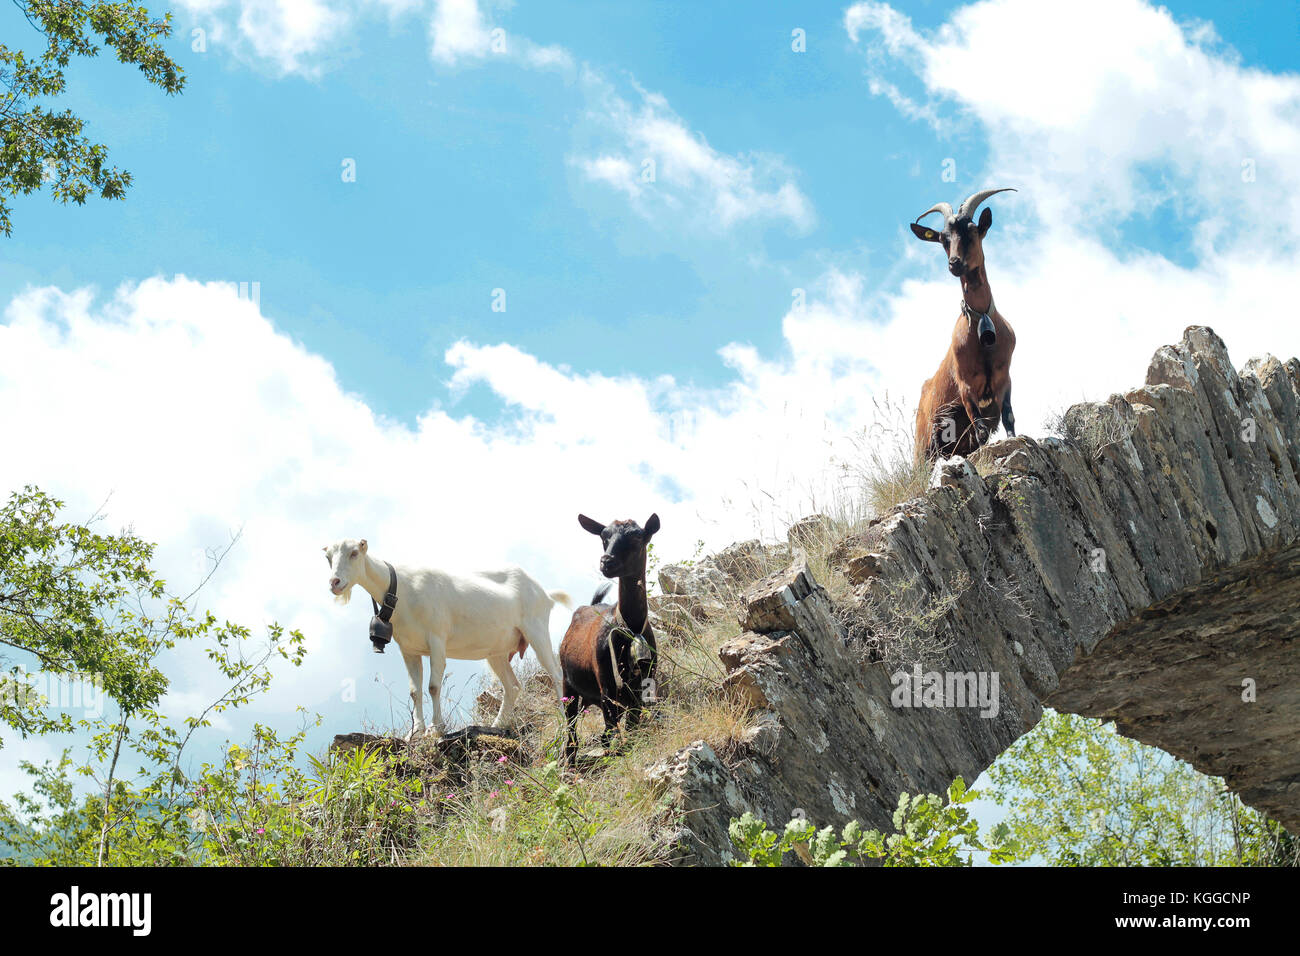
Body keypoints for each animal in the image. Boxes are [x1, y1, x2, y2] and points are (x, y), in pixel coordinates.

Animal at [324, 538, 570, 737]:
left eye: (354, 552)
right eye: (328, 557)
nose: (334, 582)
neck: (402, 589)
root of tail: (545, 594)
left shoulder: (437, 640)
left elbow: (433, 686)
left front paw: (436, 728)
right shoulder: (409, 650)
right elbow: (414, 691)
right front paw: (415, 731)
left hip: (536, 629)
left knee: (555, 673)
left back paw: (564, 718)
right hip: (496, 652)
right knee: (513, 687)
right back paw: (497, 724)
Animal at [558, 513, 660, 764]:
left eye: (638, 537)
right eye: (604, 537)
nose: (607, 562)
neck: (630, 629)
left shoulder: (642, 684)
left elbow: (631, 728)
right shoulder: (606, 685)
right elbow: (611, 731)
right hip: (568, 684)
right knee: (571, 730)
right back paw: (570, 762)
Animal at [911, 187, 1018, 462]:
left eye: (972, 230)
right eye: (943, 239)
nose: (955, 263)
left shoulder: (1004, 377)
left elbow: (1009, 417)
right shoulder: (966, 387)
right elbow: (980, 429)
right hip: (924, 445)